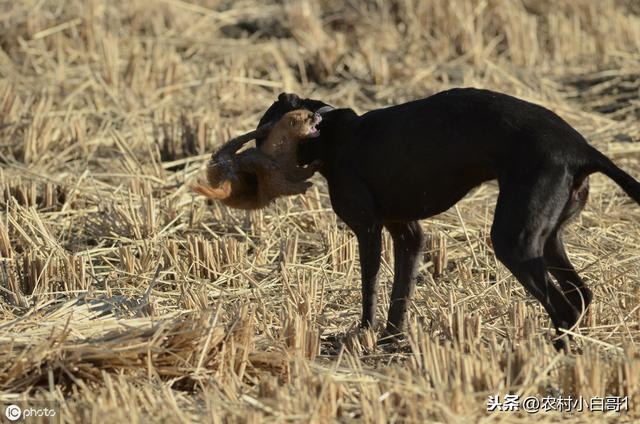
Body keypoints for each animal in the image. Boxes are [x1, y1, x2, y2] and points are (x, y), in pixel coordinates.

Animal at [190, 108, 320, 210]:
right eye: (308, 117)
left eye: (310, 111)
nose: (318, 115)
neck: (282, 158)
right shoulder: (272, 178)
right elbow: (285, 187)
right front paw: (306, 185)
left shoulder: (291, 169)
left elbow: (302, 173)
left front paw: (316, 164)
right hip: (232, 158)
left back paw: (266, 127)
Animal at [256, 88, 640, 350]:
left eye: (261, 133)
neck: (331, 131)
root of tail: (581, 149)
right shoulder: (408, 233)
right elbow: (401, 291)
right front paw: (390, 338)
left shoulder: (368, 228)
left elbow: (370, 285)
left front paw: (363, 332)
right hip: (547, 238)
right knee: (580, 295)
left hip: (513, 240)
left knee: (563, 307)